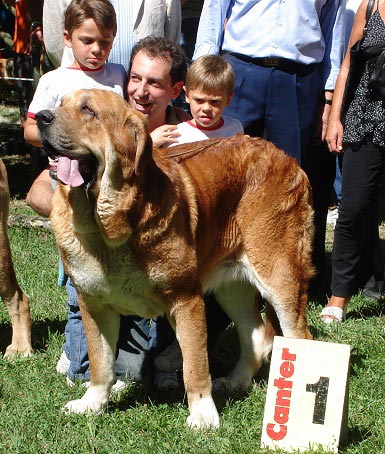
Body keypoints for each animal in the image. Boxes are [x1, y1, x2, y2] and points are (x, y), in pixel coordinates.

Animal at [36, 89, 314, 430]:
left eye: (88, 110)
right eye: (60, 104)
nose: (41, 117)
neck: (109, 228)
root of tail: (288, 159)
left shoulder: (185, 300)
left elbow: (195, 364)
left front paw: (203, 415)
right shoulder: (94, 305)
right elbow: (101, 363)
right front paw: (92, 403)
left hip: (280, 280)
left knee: (300, 337)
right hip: (232, 288)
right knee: (257, 335)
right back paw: (235, 382)